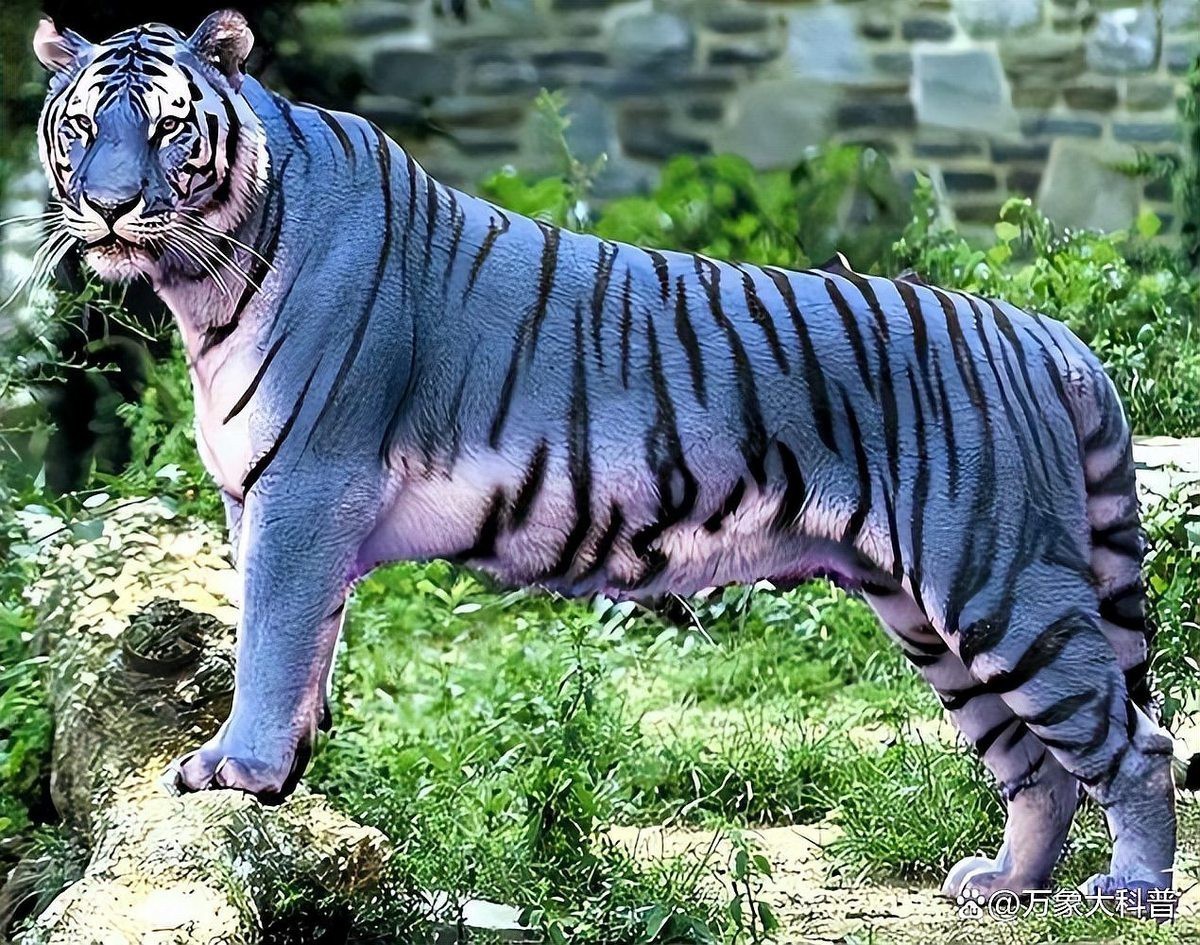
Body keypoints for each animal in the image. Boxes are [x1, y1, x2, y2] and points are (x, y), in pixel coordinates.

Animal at [27, 9, 1193, 906]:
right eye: (82, 128)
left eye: (169, 129)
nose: (111, 206)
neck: (205, 283)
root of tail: (1043, 332)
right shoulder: (263, 501)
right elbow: (304, 644)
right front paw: (287, 777)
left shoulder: (307, 486)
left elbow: (269, 637)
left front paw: (237, 771)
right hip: (928, 614)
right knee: (1037, 764)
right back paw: (1005, 884)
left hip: (1001, 580)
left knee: (1135, 742)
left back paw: (1132, 890)